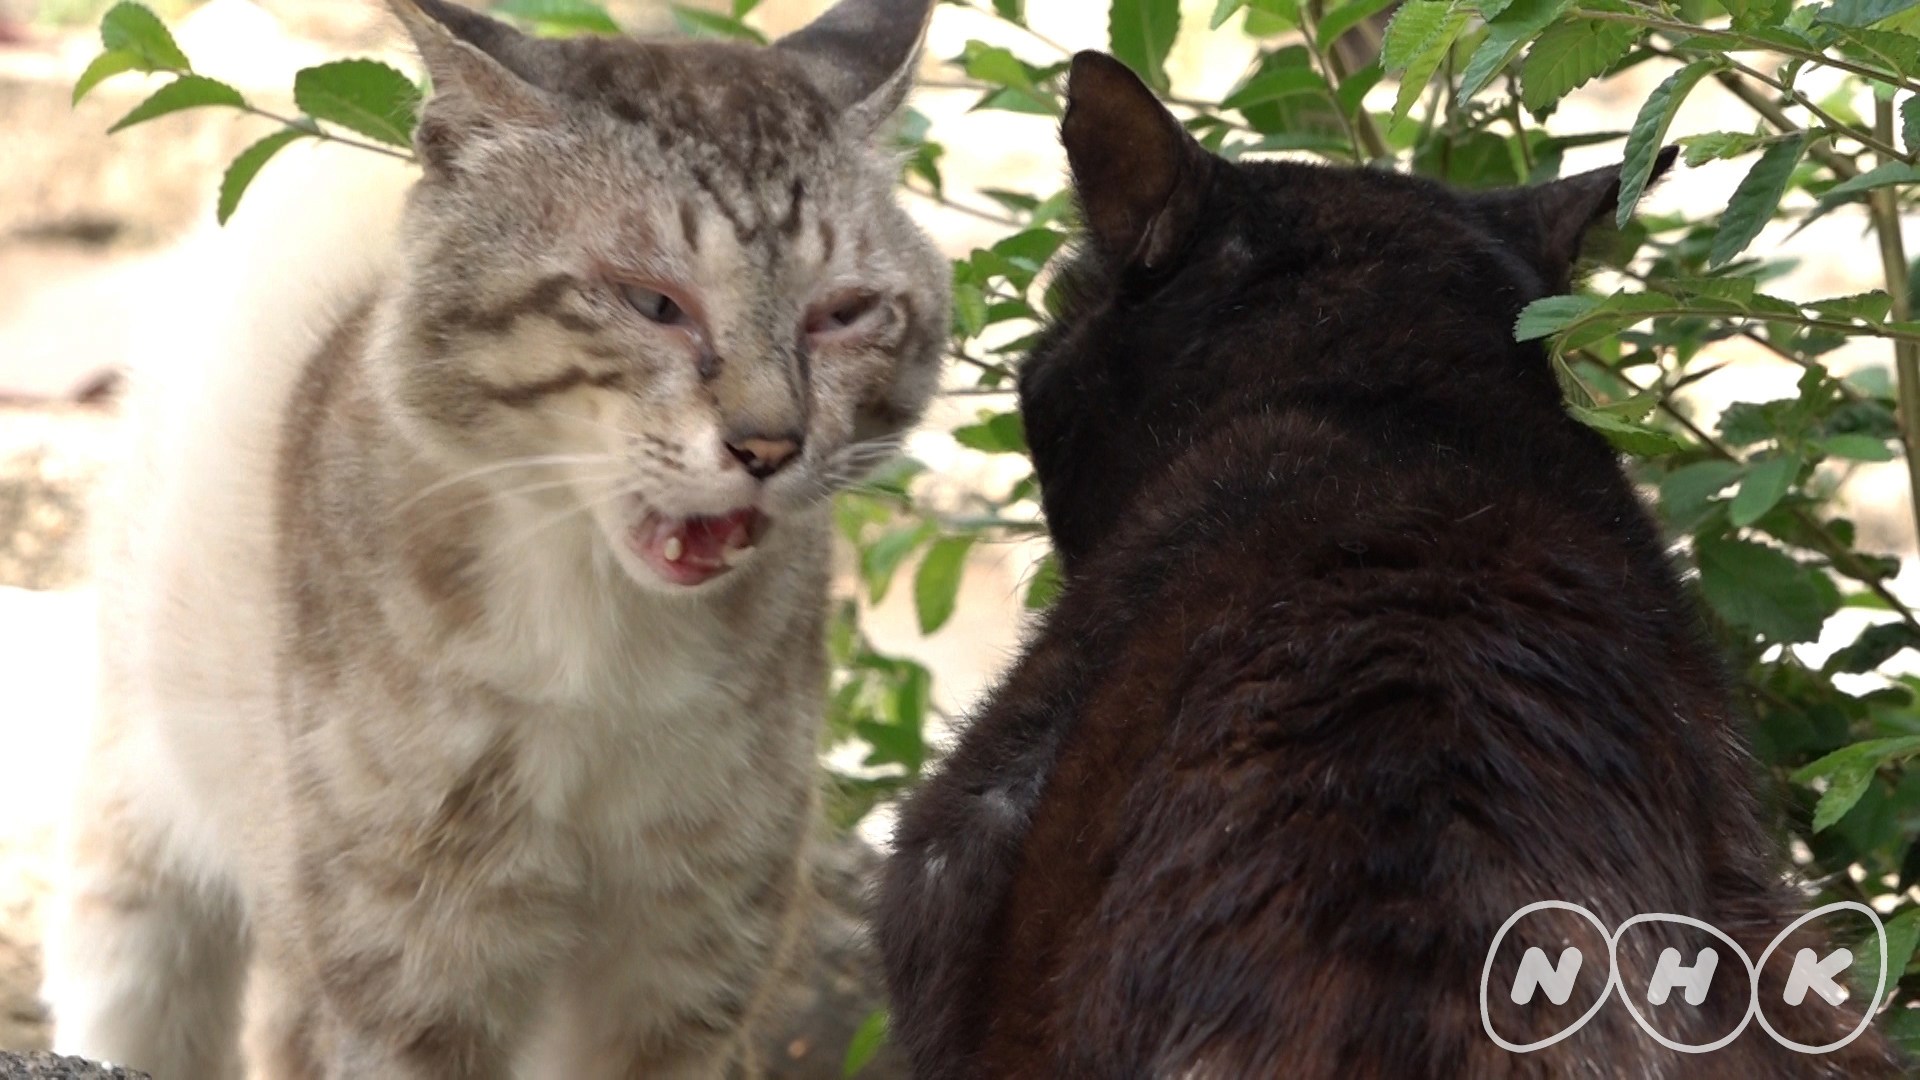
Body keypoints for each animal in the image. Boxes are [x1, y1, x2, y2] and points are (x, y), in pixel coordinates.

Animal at [39, 4, 952, 1068]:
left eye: (843, 314)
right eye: (653, 304)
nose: (768, 445)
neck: (610, 652)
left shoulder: (686, 966)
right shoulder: (410, 964)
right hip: (140, 870)